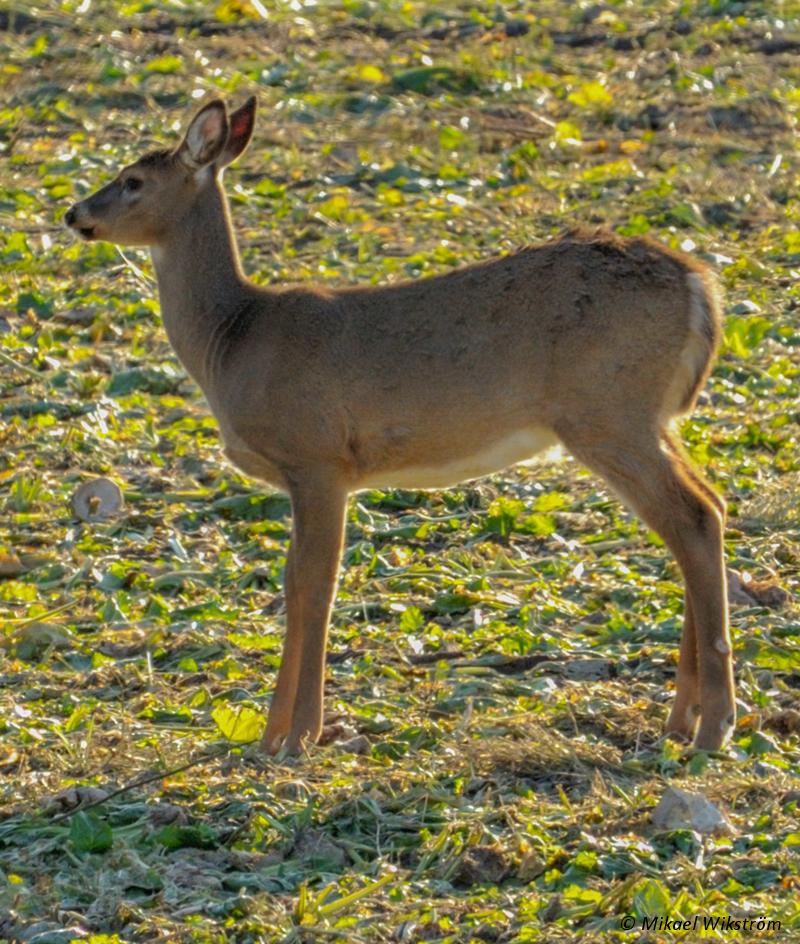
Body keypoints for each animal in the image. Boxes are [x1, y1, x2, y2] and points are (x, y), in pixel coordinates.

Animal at [65, 96, 736, 756]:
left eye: (132, 180)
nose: (74, 213)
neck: (233, 338)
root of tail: (700, 285)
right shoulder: (305, 475)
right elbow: (291, 585)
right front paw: (270, 734)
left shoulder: (319, 459)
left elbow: (315, 587)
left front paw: (300, 735)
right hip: (644, 416)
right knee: (706, 510)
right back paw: (681, 720)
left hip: (606, 412)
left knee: (694, 517)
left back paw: (714, 726)